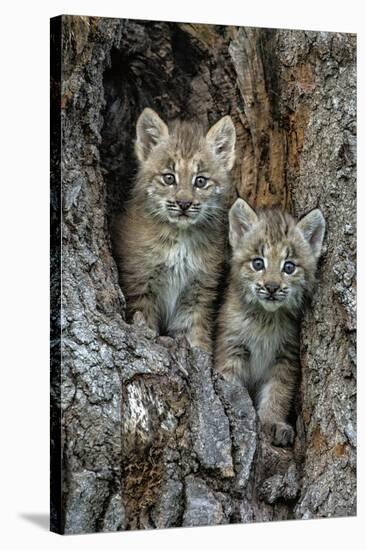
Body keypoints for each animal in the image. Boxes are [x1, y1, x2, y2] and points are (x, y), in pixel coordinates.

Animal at [113, 108, 236, 354]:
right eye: (169, 178)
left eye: (201, 181)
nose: (184, 204)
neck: (181, 237)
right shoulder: (140, 283)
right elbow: (145, 323)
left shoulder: (198, 292)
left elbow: (194, 333)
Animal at [214, 198, 326, 448]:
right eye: (258, 263)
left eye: (289, 267)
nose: (272, 287)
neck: (265, 318)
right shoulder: (232, 345)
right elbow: (231, 382)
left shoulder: (286, 357)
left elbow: (278, 392)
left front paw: (271, 422)